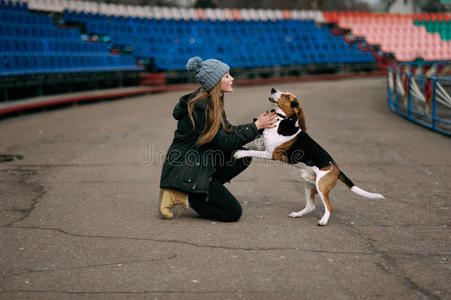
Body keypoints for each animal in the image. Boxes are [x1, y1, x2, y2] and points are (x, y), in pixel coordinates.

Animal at [233, 87, 384, 225]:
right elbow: (252, 148)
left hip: (321, 186)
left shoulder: (271, 154)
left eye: (287, 97)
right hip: (307, 180)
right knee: (311, 206)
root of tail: (337, 169)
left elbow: (252, 152)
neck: (282, 121)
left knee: (329, 207)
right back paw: (298, 214)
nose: (273, 89)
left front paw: (239, 153)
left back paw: (323, 221)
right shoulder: (263, 146)